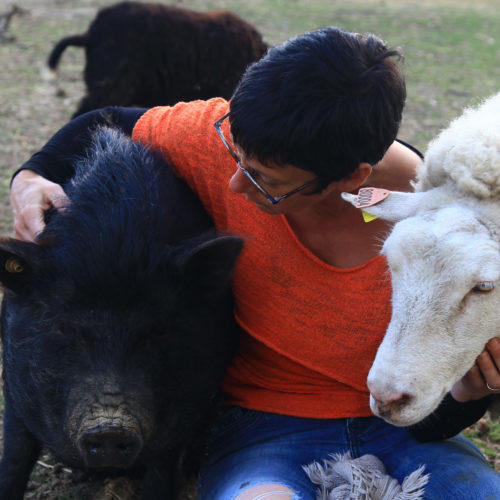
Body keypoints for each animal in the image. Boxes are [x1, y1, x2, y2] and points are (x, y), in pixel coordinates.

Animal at [0, 128, 244, 500]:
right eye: (64, 328)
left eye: (158, 330)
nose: (111, 430)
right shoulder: (13, 382)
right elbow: (14, 458)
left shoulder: (191, 400)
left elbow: (161, 473)